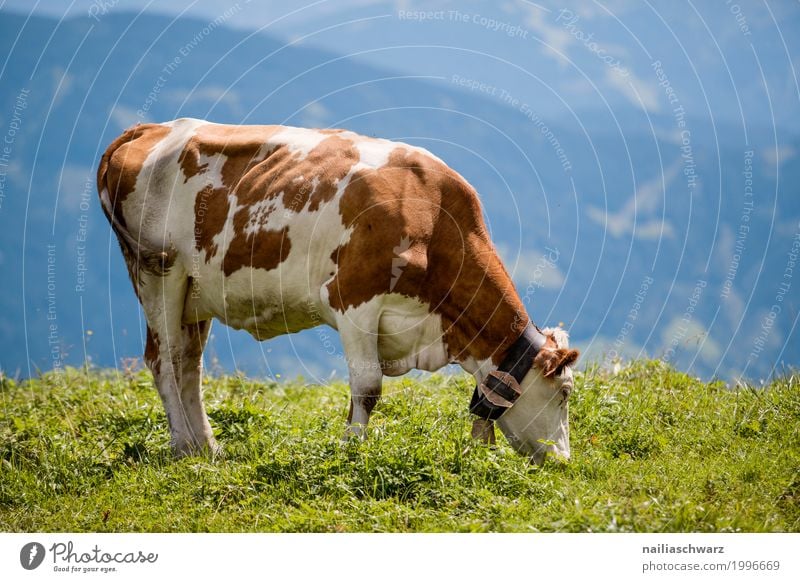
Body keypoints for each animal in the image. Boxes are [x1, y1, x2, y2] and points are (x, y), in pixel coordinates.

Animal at [97, 118, 580, 466]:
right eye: (565, 392)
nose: (563, 461)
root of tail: (149, 128)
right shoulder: (353, 299)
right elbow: (367, 388)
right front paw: (352, 450)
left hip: (195, 293)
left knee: (188, 364)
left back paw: (207, 447)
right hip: (156, 269)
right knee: (164, 360)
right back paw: (183, 448)